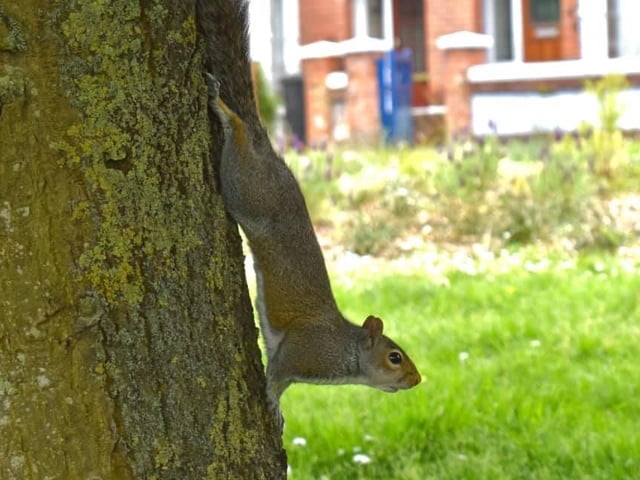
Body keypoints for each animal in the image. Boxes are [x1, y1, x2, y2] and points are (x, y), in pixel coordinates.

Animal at [196, 0, 421, 422]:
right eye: (395, 357)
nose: (417, 381)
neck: (345, 352)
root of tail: (268, 150)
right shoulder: (301, 352)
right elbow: (277, 375)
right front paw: (272, 403)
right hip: (250, 191)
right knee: (238, 136)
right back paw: (223, 109)